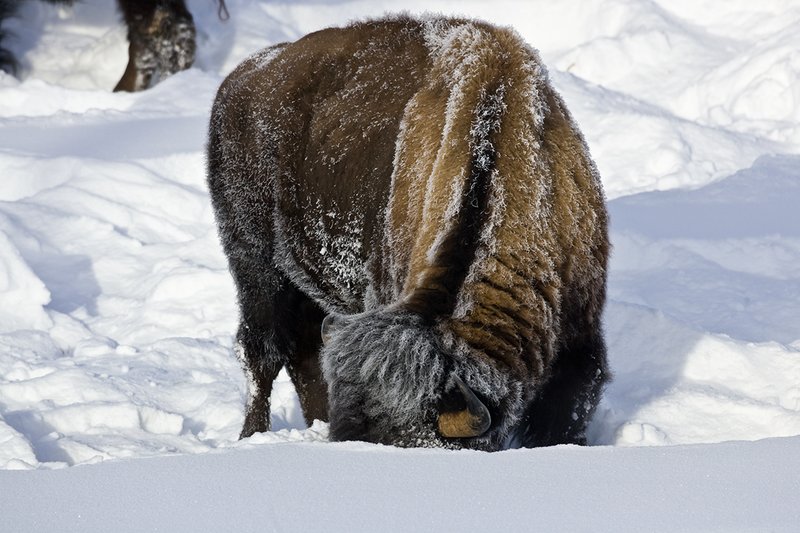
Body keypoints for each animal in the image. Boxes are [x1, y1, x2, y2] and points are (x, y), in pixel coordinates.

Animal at [207, 15, 610, 450]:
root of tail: (240, 78)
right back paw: (252, 434)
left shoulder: (580, 337)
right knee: (261, 352)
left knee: (303, 353)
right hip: (255, 265)